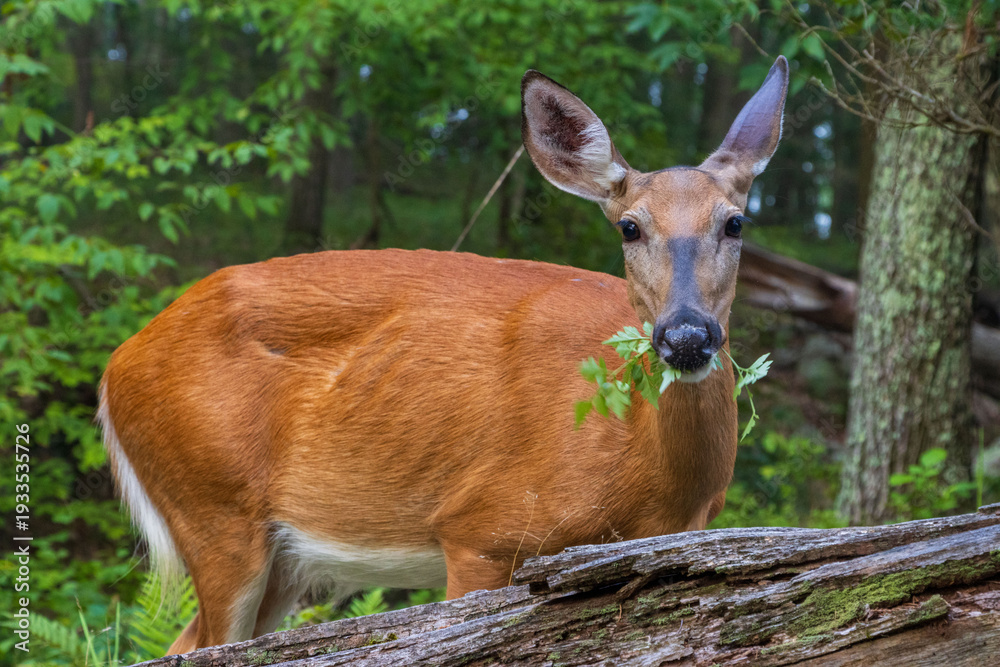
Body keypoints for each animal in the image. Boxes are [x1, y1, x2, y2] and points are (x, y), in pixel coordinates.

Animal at [98, 56, 788, 655]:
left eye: (735, 222)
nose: (687, 335)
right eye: (629, 227)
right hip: (211, 502)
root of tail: (116, 365)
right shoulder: (479, 530)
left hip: (283, 554)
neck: (645, 482)